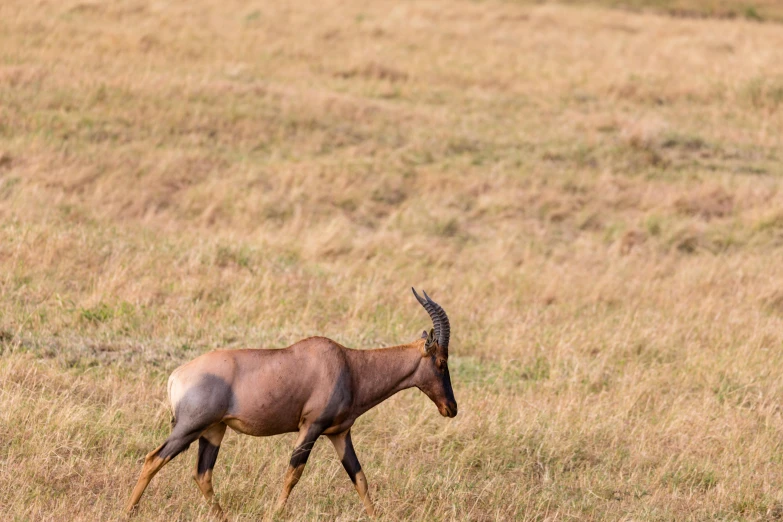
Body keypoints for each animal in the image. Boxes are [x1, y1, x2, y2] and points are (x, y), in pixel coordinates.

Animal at [125, 286, 456, 516]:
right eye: (441, 361)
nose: (451, 408)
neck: (348, 365)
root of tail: (177, 375)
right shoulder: (310, 427)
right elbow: (293, 473)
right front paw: (273, 514)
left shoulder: (339, 434)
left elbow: (359, 478)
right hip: (189, 428)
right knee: (154, 458)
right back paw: (129, 510)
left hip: (214, 431)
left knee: (202, 474)